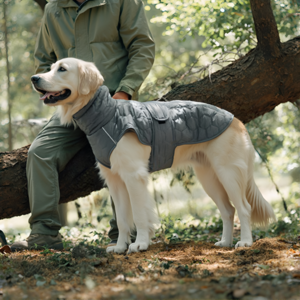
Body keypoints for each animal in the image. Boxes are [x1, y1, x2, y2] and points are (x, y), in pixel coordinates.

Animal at [31, 58, 276, 253]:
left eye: (62, 69)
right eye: (50, 67)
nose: (34, 78)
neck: (106, 116)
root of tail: (236, 120)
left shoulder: (134, 177)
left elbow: (139, 216)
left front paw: (139, 244)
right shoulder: (115, 181)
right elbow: (122, 220)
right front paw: (119, 247)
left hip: (228, 173)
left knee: (243, 208)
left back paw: (245, 242)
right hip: (209, 177)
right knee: (228, 210)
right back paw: (225, 242)